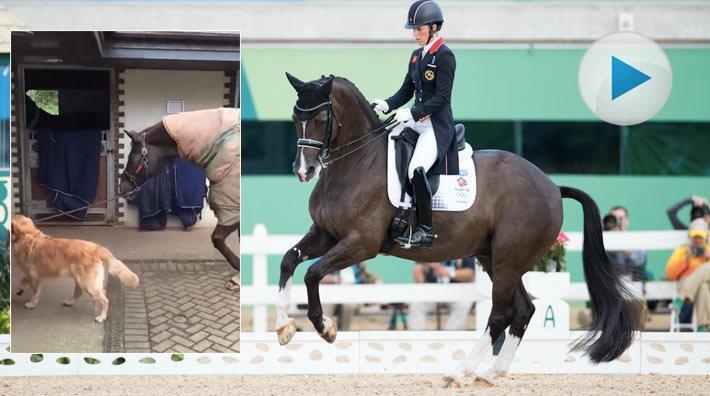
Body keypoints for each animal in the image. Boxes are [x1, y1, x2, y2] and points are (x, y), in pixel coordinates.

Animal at [278, 74, 644, 386]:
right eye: (296, 118)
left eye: (321, 119)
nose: (303, 170)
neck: (358, 162)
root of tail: (553, 187)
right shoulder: (326, 233)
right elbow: (288, 261)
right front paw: (284, 327)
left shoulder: (361, 243)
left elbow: (313, 273)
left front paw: (325, 327)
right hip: (495, 259)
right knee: (523, 310)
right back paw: (492, 373)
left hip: (509, 260)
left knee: (499, 315)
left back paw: (459, 372)